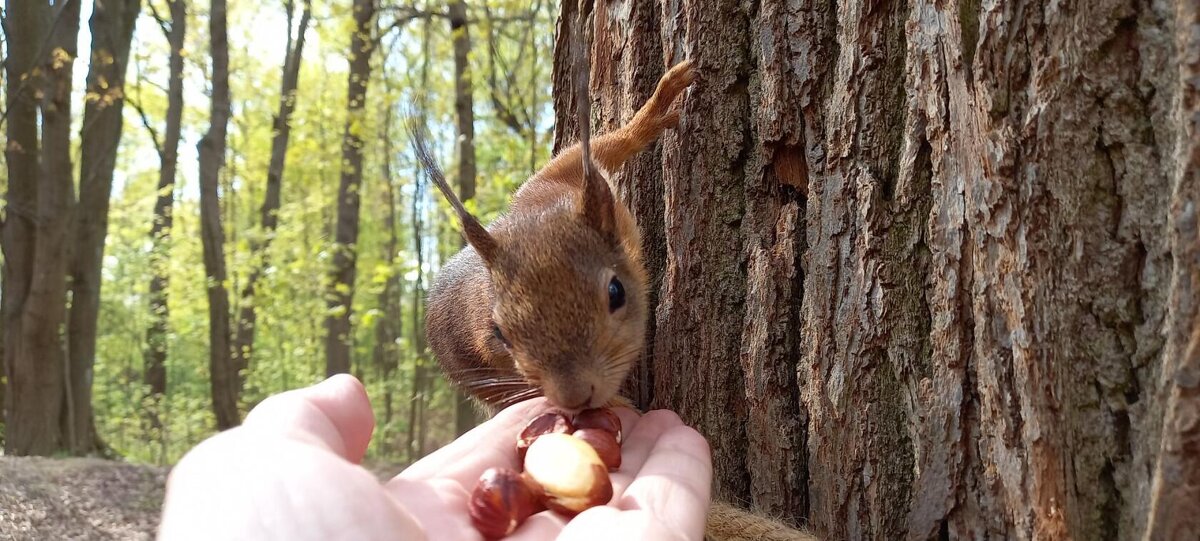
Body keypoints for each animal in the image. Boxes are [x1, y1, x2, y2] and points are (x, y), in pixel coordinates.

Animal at [410, 10, 816, 539]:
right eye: (500, 334)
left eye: (616, 292)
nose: (576, 398)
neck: (539, 216)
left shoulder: (560, 175)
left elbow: (611, 144)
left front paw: (658, 105)